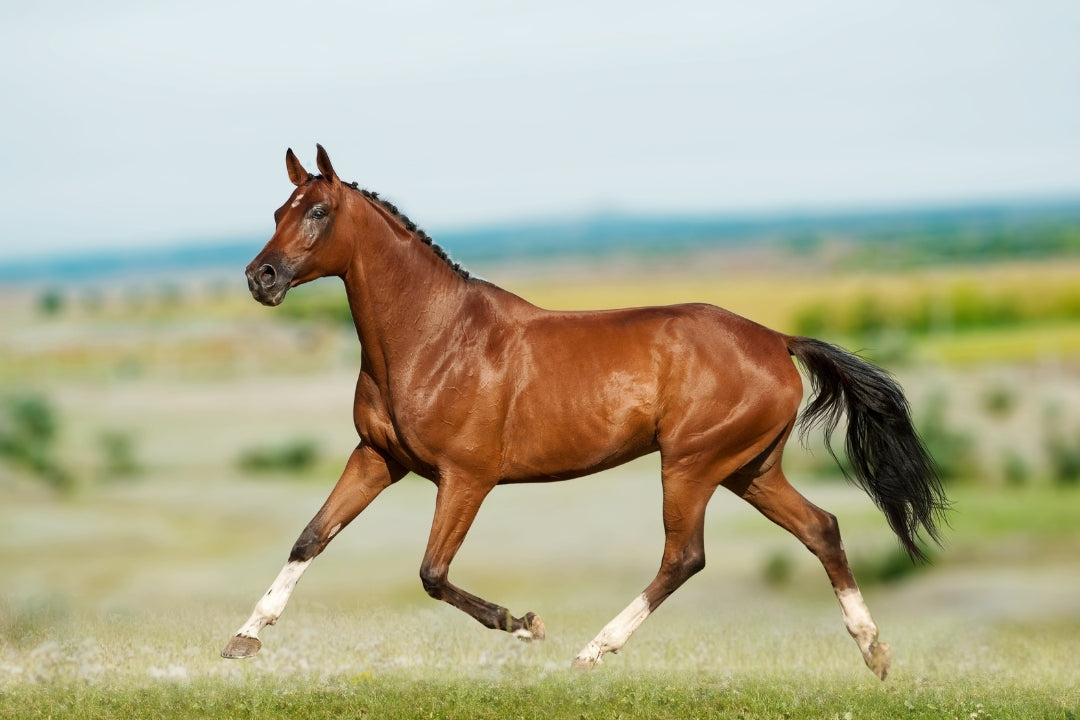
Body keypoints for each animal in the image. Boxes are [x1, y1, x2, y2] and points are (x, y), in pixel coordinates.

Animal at [222, 145, 947, 679]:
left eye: (318, 211)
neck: (431, 338)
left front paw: (524, 625)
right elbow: (312, 536)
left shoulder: (466, 477)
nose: (261, 278)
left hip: (692, 464)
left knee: (683, 557)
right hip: (750, 469)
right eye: (278, 208)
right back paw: (876, 655)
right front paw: (243, 639)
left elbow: (432, 572)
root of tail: (776, 339)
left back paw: (590, 653)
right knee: (821, 528)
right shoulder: (377, 458)